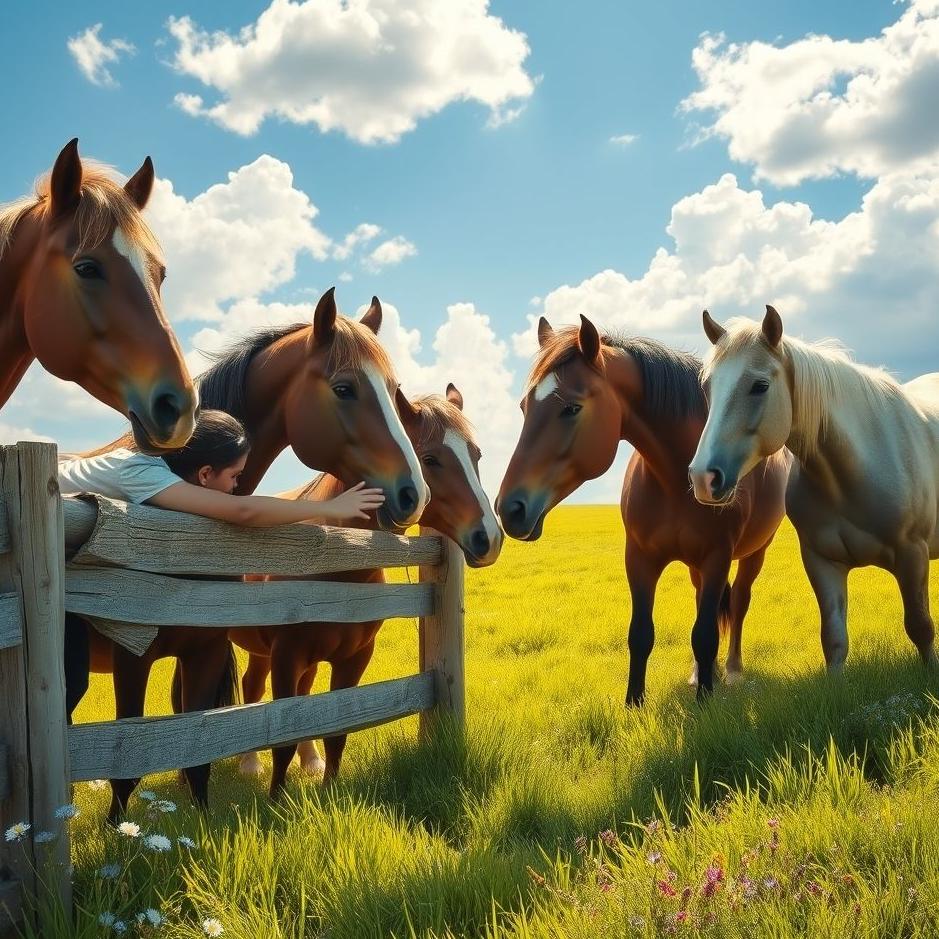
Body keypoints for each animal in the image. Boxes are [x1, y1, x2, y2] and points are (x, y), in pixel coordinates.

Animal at [80, 288, 431, 818]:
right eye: (344, 388)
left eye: (395, 391)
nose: (413, 494)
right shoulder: (132, 658)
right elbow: (127, 763)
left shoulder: (203, 648)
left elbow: (197, 750)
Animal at [228, 384, 502, 797]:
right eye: (429, 458)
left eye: (477, 455)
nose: (490, 537)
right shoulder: (286, 656)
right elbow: (283, 735)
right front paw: (276, 802)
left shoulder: (353, 658)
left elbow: (335, 730)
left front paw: (328, 793)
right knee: (247, 689)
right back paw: (246, 765)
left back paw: (306, 761)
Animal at [496, 315, 790, 702]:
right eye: (523, 407)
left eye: (571, 408)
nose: (509, 508)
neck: (675, 481)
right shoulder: (639, 557)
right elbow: (640, 634)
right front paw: (635, 703)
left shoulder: (717, 557)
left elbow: (706, 634)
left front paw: (705, 701)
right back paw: (701, 672)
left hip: (756, 551)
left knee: (739, 602)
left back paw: (731, 671)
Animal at [689, 304, 939, 670]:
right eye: (708, 387)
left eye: (760, 386)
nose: (703, 478)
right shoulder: (822, 561)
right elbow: (834, 640)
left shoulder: (913, 555)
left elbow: (921, 627)